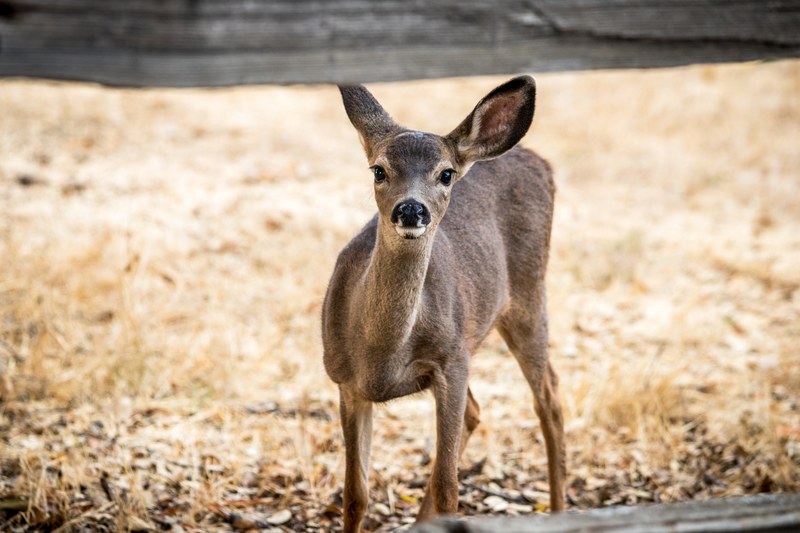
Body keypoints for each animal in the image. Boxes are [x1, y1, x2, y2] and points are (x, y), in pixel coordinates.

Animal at [322, 76, 565, 532]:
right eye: (379, 169)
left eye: (446, 174)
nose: (411, 209)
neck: (379, 354)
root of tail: (539, 159)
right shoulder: (346, 382)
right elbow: (355, 495)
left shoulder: (450, 362)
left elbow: (450, 488)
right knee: (478, 412)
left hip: (527, 296)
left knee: (550, 400)